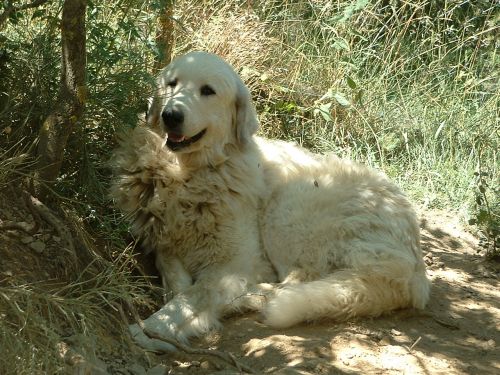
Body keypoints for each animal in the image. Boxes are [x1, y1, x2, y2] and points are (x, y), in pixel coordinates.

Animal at [111, 51, 432, 352]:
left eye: (207, 91)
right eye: (172, 83)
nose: (171, 115)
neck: (191, 175)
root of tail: (414, 269)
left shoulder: (236, 261)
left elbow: (193, 296)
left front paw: (149, 330)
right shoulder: (165, 243)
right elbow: (176, 282)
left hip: (288, 209)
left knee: (299, 279)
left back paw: (248, 297)